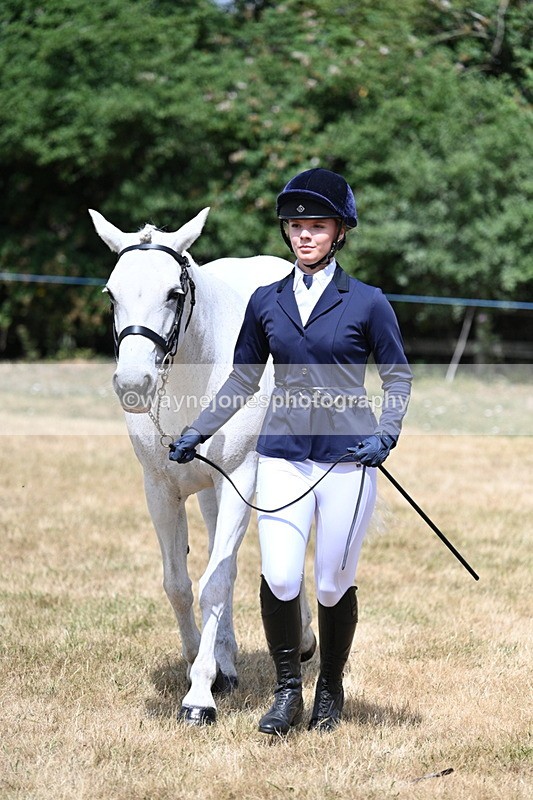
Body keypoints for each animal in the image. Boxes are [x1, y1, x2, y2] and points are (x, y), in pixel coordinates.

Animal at [89, 207, 316, 724]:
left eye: (173, 294)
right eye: (111, 294)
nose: (133, 384)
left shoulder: (240, 482)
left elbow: (214, 583)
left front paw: (198, 698)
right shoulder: (160, 490)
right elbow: (180, 583)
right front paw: (202, 663)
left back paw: (304, 640)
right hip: (212, 494)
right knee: (221, 558)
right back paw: (226, 663)